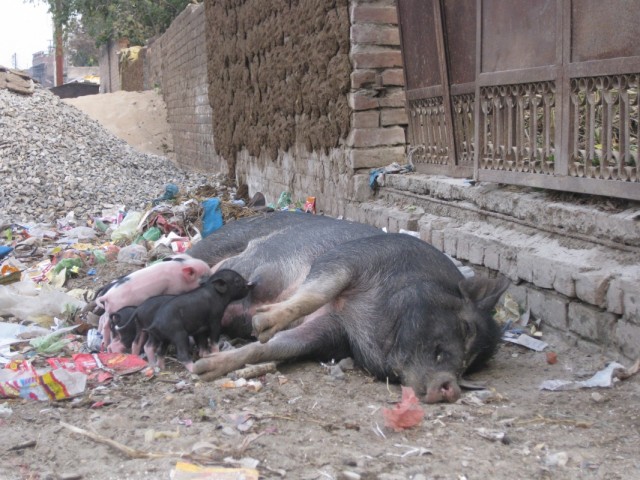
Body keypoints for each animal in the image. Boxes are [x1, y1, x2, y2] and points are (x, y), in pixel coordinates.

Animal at [188, 212, 509, 403]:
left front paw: (203, 369)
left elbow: (275, 347)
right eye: (466, 327)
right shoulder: (350, 258)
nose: (450, 387)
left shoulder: (332, 332)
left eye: (468, 367)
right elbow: (317, 291)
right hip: (218, 244)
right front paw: (261, 324)